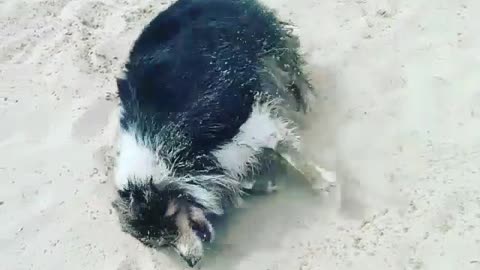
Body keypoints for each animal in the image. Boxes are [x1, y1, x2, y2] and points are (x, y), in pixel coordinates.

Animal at [112, 0, 334, 266]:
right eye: (163, 243)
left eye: (169, 227)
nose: (191, 263)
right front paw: (263, 184)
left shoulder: (244, 117)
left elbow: (287, 150)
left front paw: (324, 183)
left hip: (262, 42)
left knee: (290, 58)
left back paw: (306, 98)